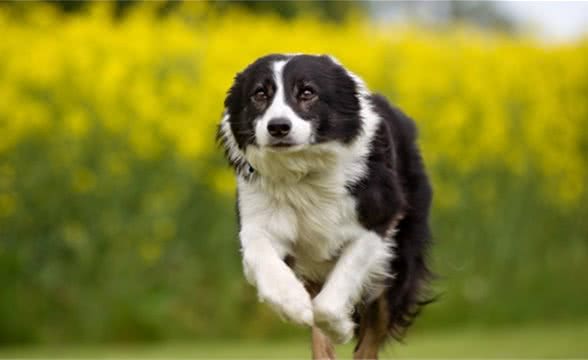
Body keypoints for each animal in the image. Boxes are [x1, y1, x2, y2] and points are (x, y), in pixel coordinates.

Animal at [218, 54, 434, 360]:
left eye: (308, 92)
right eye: (259, 94)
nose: (278, 127)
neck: (302, 173)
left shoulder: (378, 222)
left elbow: (330, 301)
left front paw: (341, 327)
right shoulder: (258, 219)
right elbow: (262, 257)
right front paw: (292, 304)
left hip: (400, 259)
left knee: (371, 335)